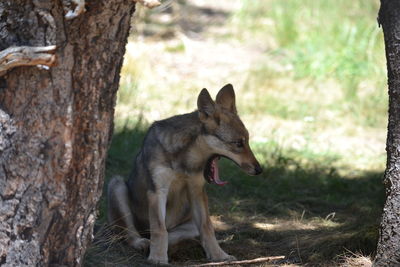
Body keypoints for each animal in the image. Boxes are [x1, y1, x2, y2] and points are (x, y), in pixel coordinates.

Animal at [108, 85, 262, 264]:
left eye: (247, 141)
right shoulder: (157, 192)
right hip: (116, 184)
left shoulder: (197, 191)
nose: (259, 170)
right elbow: (159, 229)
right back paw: (143, 243)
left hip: (190, 223)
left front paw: (219, 256)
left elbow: (207, 228)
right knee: (131, 234)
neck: (185, 159)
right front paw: (157, 258)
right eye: (238, 143)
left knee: (176, 235)